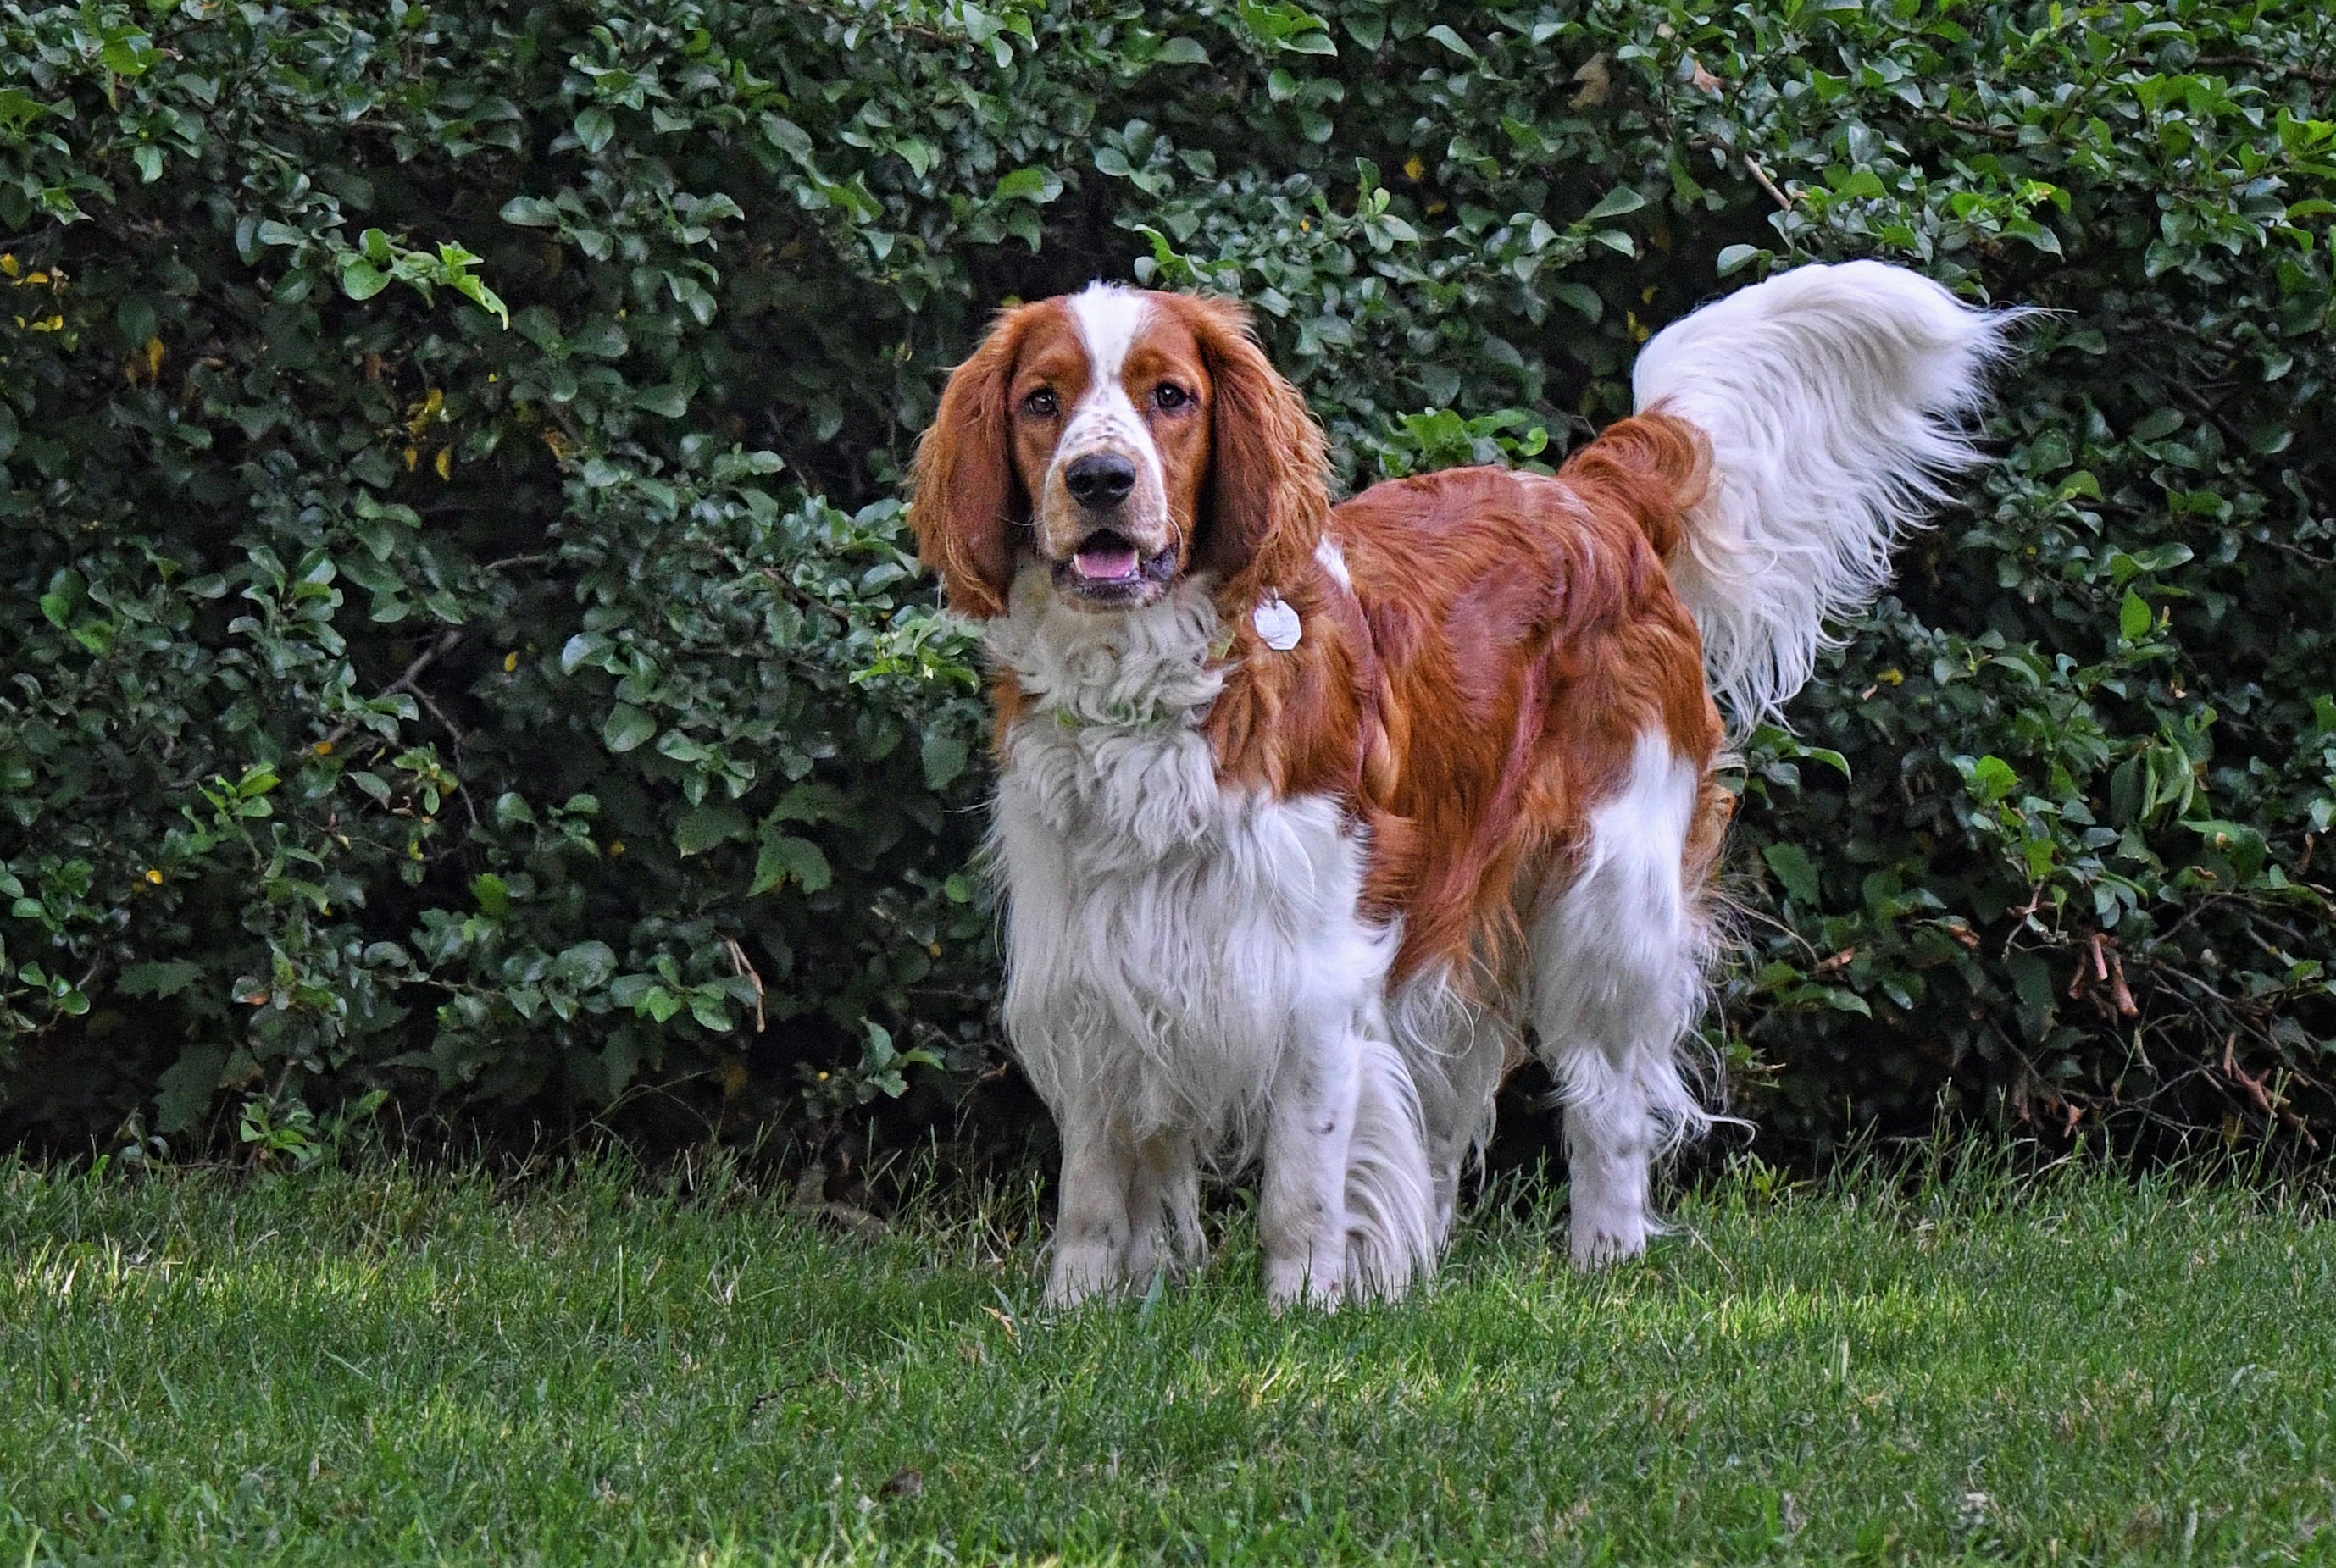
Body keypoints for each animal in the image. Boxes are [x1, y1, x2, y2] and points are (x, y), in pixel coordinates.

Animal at [920, 266, 2018, 1308]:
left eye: (1171, 396)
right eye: (1041, 400)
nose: (1100, 478)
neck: (1153, 692)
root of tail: (1592, 496)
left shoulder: (1314, 972)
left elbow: (1301, 1184)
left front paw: (1301, 1308)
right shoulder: (1088, 965)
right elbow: (1094, 1189)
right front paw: (1075, 1314)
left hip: (1607, 903)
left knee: (1608, 1105)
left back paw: (1604, 1263)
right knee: (1450, 1111)